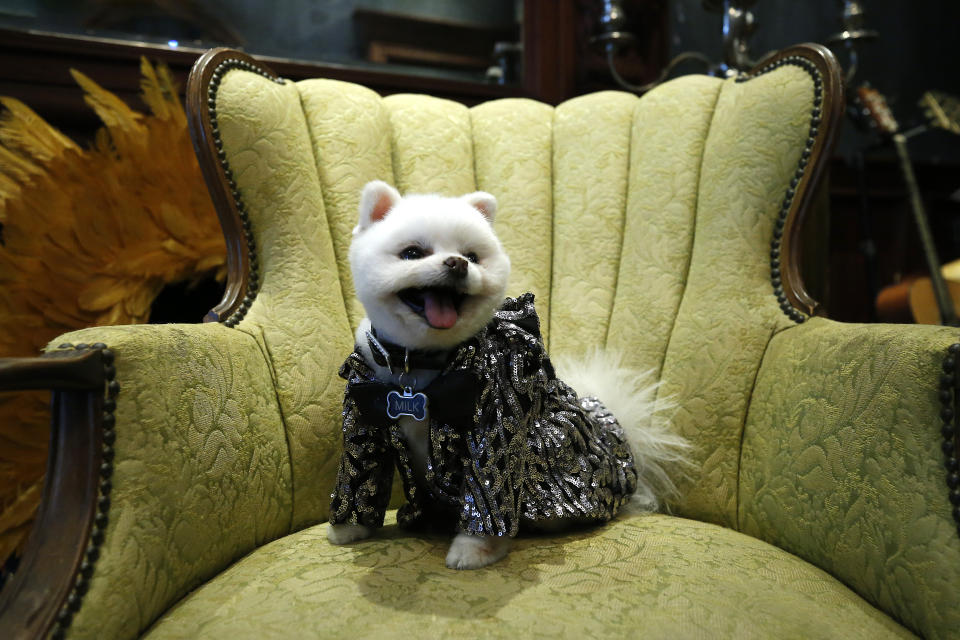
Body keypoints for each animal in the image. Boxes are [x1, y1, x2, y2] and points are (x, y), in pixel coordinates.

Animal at [330, 180, 688, 568]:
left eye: (472, 256)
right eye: (411, 253)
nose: (457, 263)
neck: (419, 364)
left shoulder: (493, 417)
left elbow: (487, 489)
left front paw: (474, 550)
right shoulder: (363, 411)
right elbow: (359, 471)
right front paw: (348, 528)